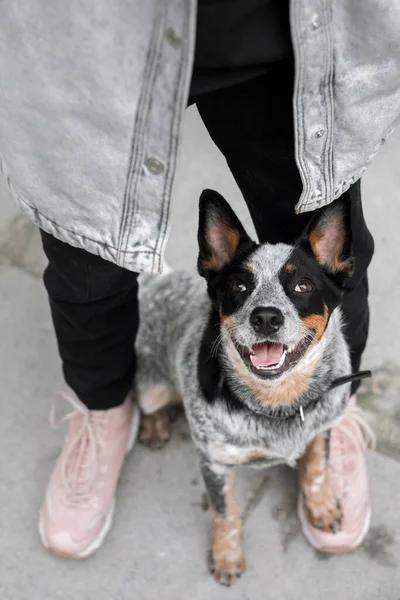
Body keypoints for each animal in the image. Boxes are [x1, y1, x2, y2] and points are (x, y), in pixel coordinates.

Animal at [135, 191, 354, 584]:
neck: (278, 402)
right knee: (146, 399)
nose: (266, 317)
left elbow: (317, 471)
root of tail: (159, 281)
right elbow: (226, 514)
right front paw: (226, 557)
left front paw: (322, 507)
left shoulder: (322, 428)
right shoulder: (216, 463)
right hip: (151, 385)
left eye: (303, 285)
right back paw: (155, 425)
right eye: (239, 286)